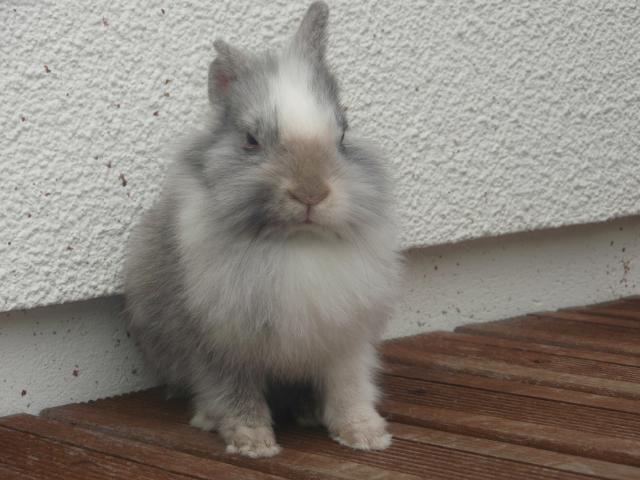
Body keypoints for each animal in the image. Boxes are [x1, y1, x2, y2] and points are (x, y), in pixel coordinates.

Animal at [124, 1, 402, 458]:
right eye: (251, 141)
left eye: (344, 134)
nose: (311, 193)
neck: (296, 243)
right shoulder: (221, 345)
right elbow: (235, 394)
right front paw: (252, 443)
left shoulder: (346, 339)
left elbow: (349, 387)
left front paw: (366, 435)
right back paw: (208, 419)